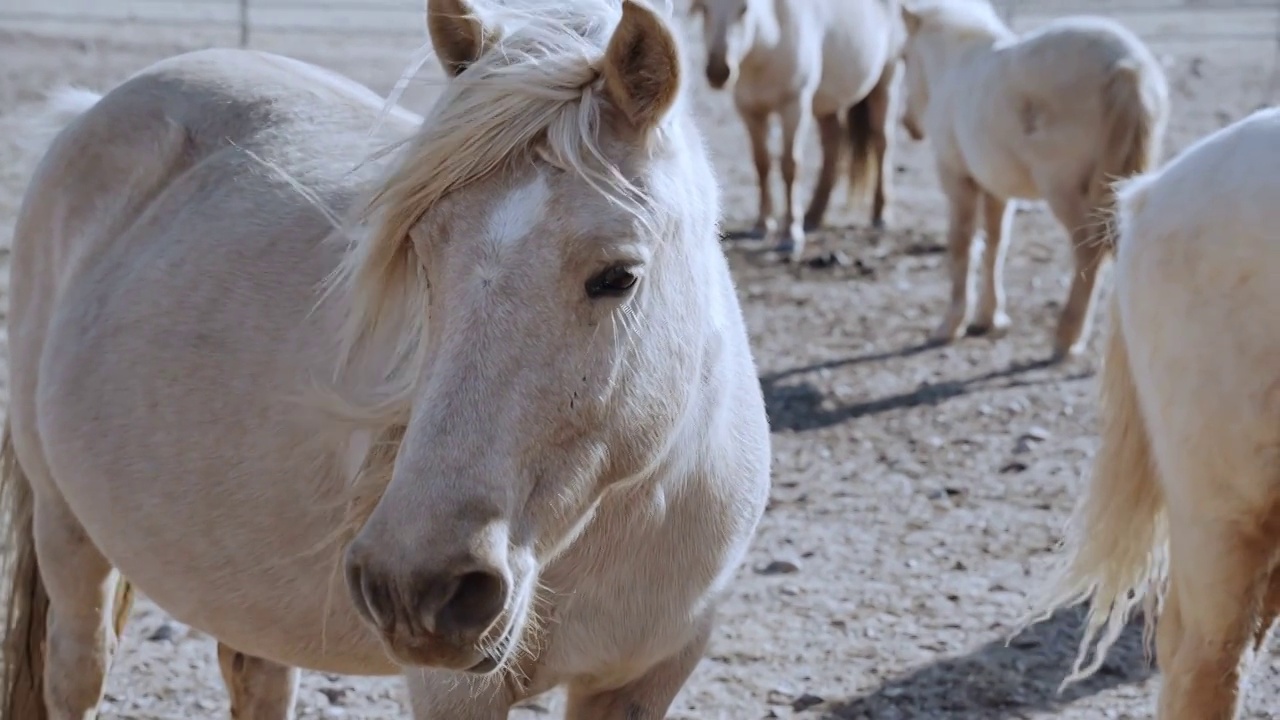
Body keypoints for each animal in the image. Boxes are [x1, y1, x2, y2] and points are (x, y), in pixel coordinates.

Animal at [0, 0, 768, 712]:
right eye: (423, 256)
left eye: (618, 276)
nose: (415, 586)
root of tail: (92, 109)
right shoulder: (453, 690)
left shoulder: (646, 677)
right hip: (66, 530)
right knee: (77, 670)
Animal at [901, 0, 1172, 358]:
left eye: (904, 57)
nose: (908, 124)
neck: (955, 66)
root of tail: (1129, 68)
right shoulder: (996, 189)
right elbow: (995, 244)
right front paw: (988, 318)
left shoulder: (957, 179)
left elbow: (962, 246)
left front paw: (950, 325)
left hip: (1063, 190)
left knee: (1089, 249)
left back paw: (1067, 337)